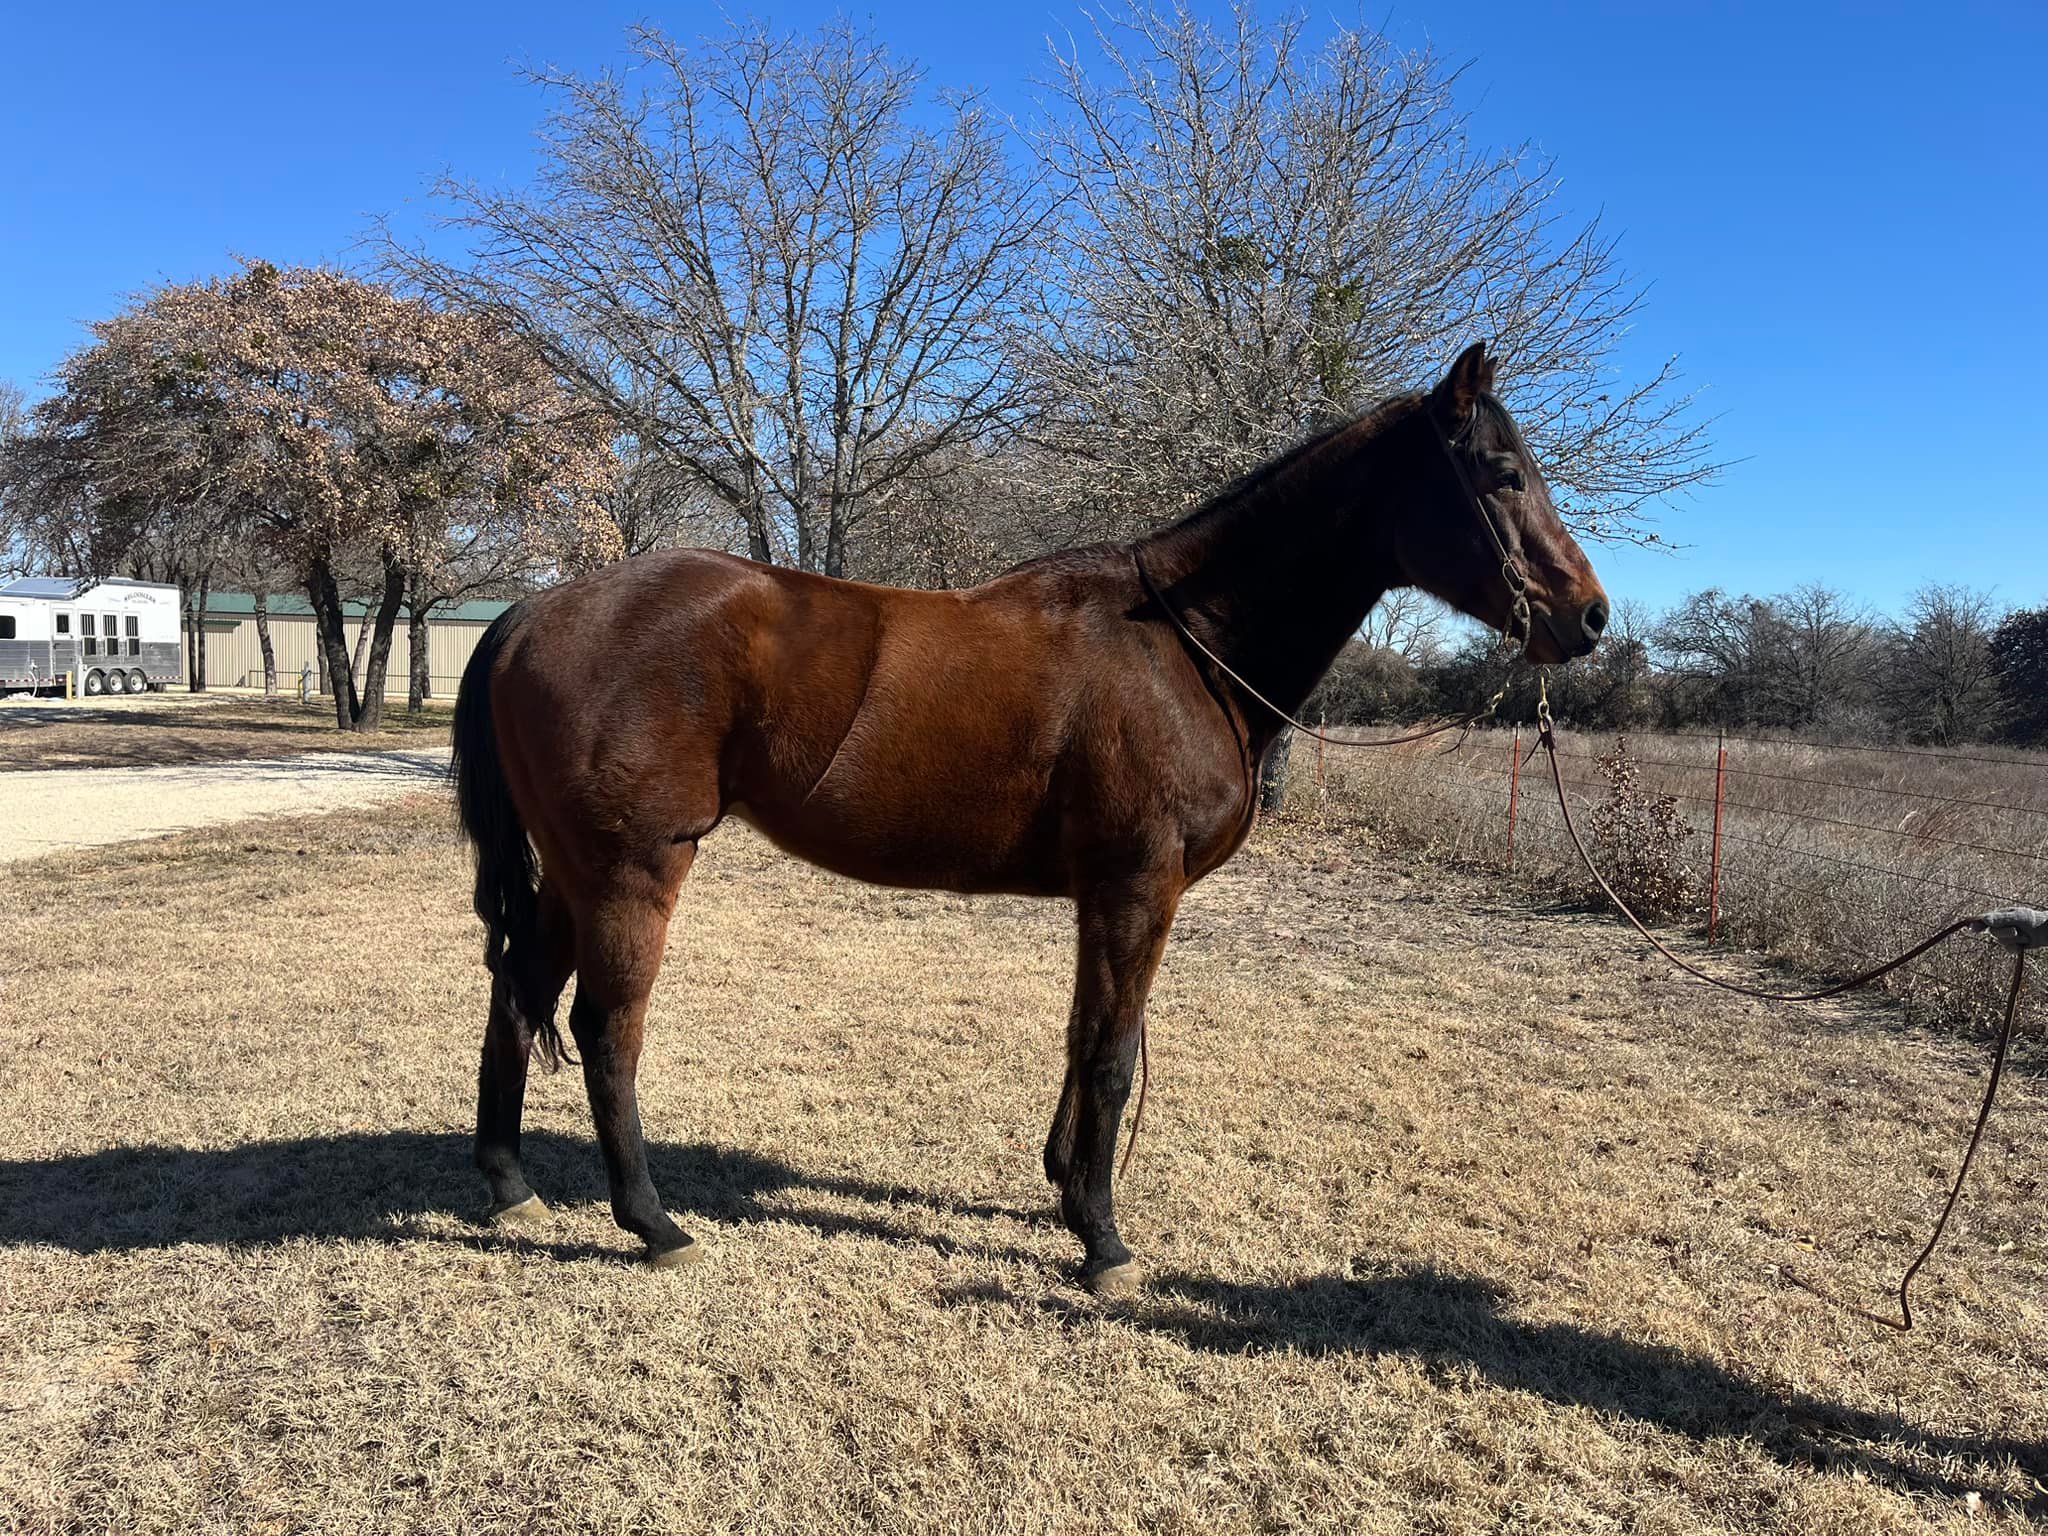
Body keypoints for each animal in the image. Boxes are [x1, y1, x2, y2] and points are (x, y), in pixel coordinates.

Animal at [451, 341, 1609, 1293]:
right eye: (1501, 471)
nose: (1588, 615)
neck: (1181, 642)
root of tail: (532, 611)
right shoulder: (1138, 886)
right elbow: (1111, 1051)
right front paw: (1101, 1237)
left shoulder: (1109, 893)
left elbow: (1087, 1032)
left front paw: (1062, 1190)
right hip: (632, 870)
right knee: (605, 1028)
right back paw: (652, 1223)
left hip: (574, 874)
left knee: (516, 994)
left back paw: (509, 1187)